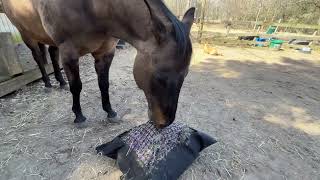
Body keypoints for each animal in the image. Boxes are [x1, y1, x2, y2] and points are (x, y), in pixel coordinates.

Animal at [3, 0, 195, 128]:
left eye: (185, 75)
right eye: (159, 77)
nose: (164, 123)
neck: (93, 8)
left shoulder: (106, 52)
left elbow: (104, 84)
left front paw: (110, 112)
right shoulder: (69, 53)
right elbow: (77, 86)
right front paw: (79, 116)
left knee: (51, 53)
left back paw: (60, 81)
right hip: (26, 33)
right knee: (38, 57)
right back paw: (48, 84)